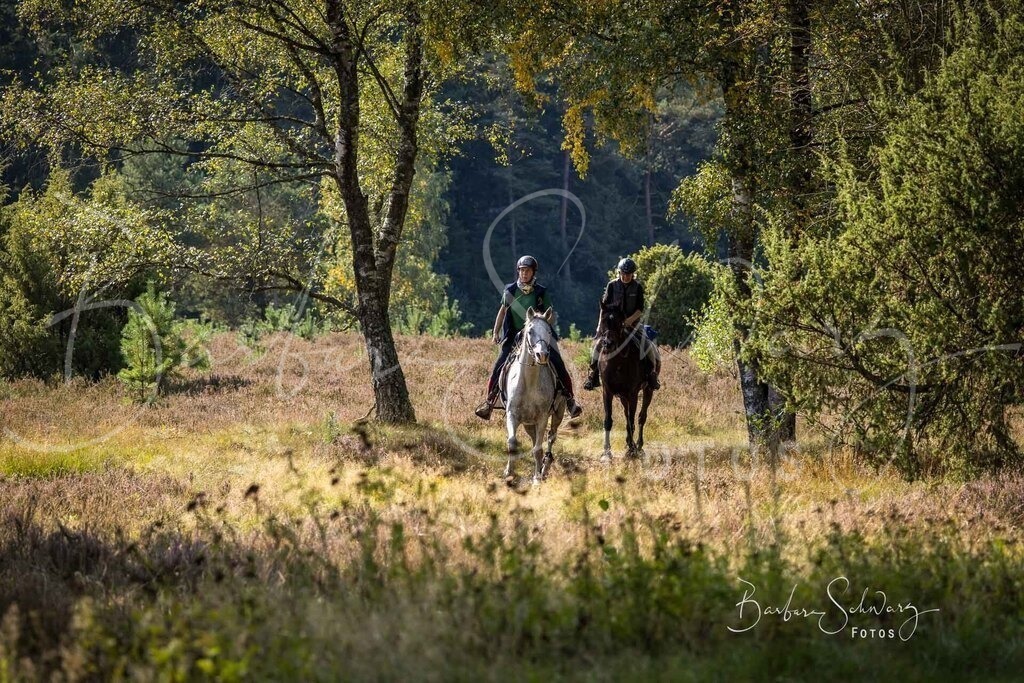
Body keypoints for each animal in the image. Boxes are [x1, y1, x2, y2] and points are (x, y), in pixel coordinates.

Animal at [503, 307, 566, 483]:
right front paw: (509, 473)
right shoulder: (512, 415)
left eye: (549, 332)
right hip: (528, 423)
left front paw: (537, 478)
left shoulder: (542, 417)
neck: (529, 382)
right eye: (530, 331)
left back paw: (545, 468)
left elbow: (538, 449)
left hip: (558, 413)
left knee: (550, 437)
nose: (542, 355)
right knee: (534, 439)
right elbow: (512, 443)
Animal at [596, 304, 654, 462]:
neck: (617, 363)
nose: (608, 344)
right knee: (627, 415)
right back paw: (629, 443)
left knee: (641, 417)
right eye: (603, 321)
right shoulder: (607, 392)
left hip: (648, 391)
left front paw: (632, 450)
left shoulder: (632, 393)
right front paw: (606, 452)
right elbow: (608, 420)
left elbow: (631, 420)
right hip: (622, 397)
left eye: (619, 323)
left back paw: (638, 446)